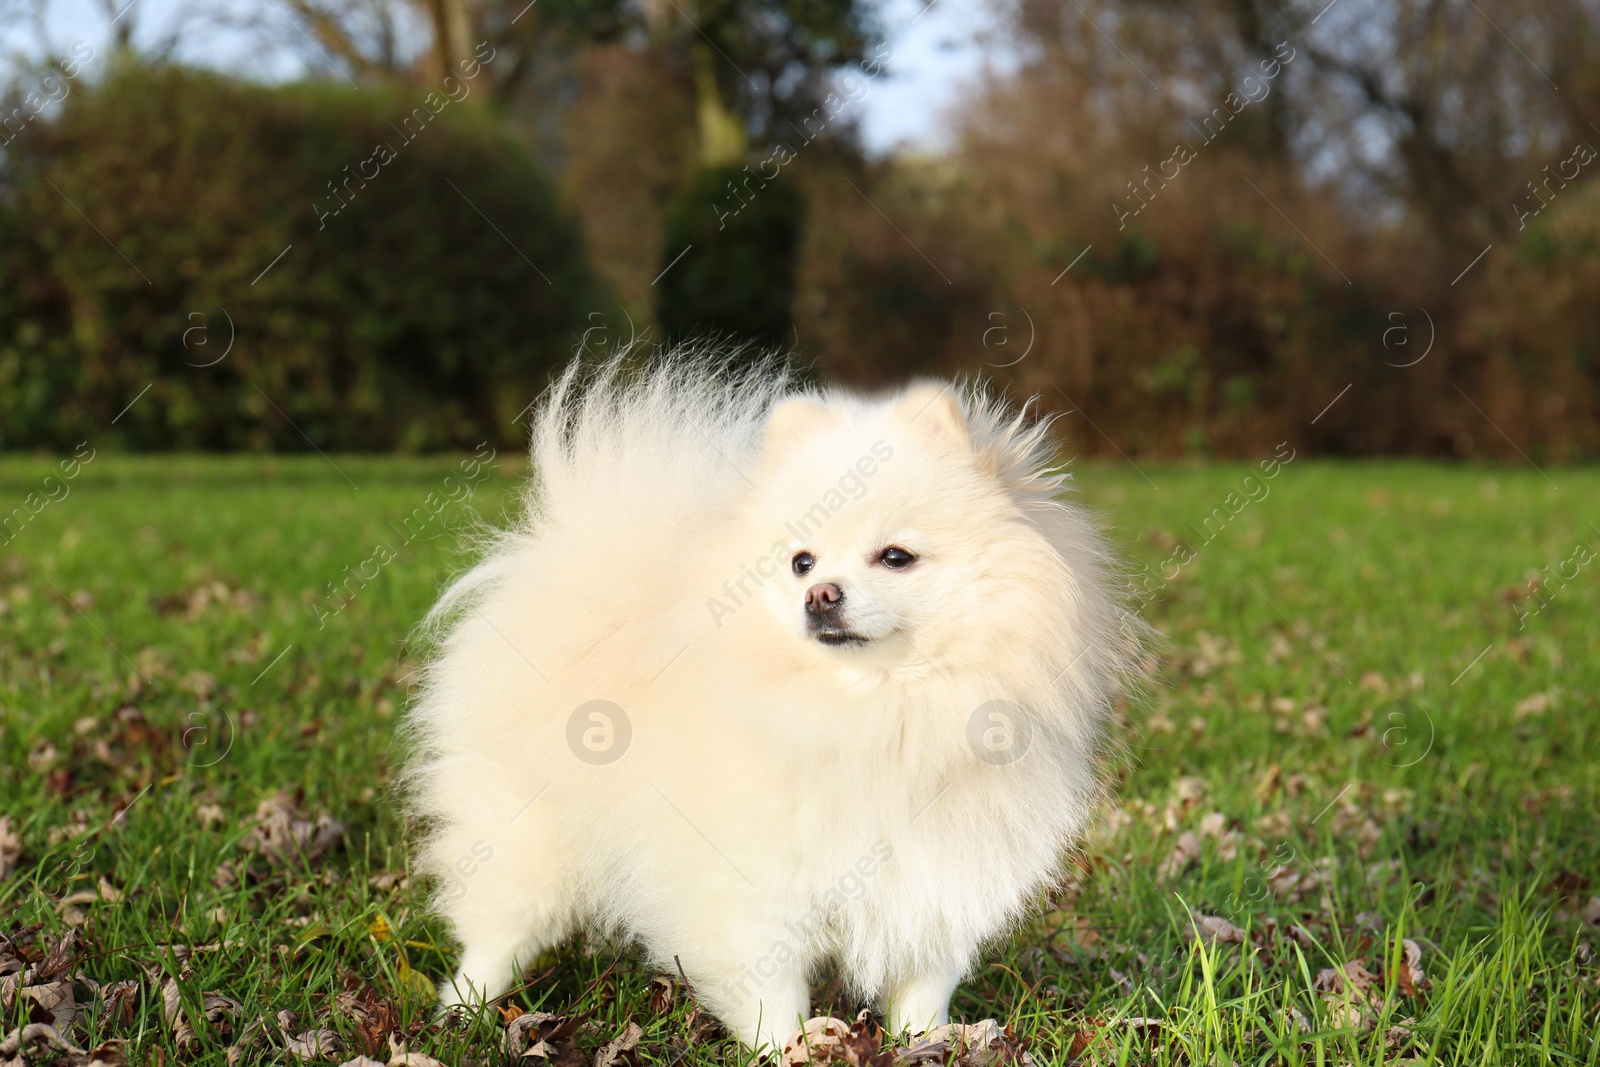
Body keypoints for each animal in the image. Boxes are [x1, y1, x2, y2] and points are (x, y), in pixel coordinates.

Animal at [406, 356, 1145, 1049]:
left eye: (896, 556)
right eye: (801, 562)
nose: (820, 594)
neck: (876, 713)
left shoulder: (939, 877)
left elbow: (922, 986)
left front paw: (922, 1043)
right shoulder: (755, 887)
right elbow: (772, 987)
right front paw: (787, 1048)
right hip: (530, 846)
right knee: (494, 939)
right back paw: (460, 1014)